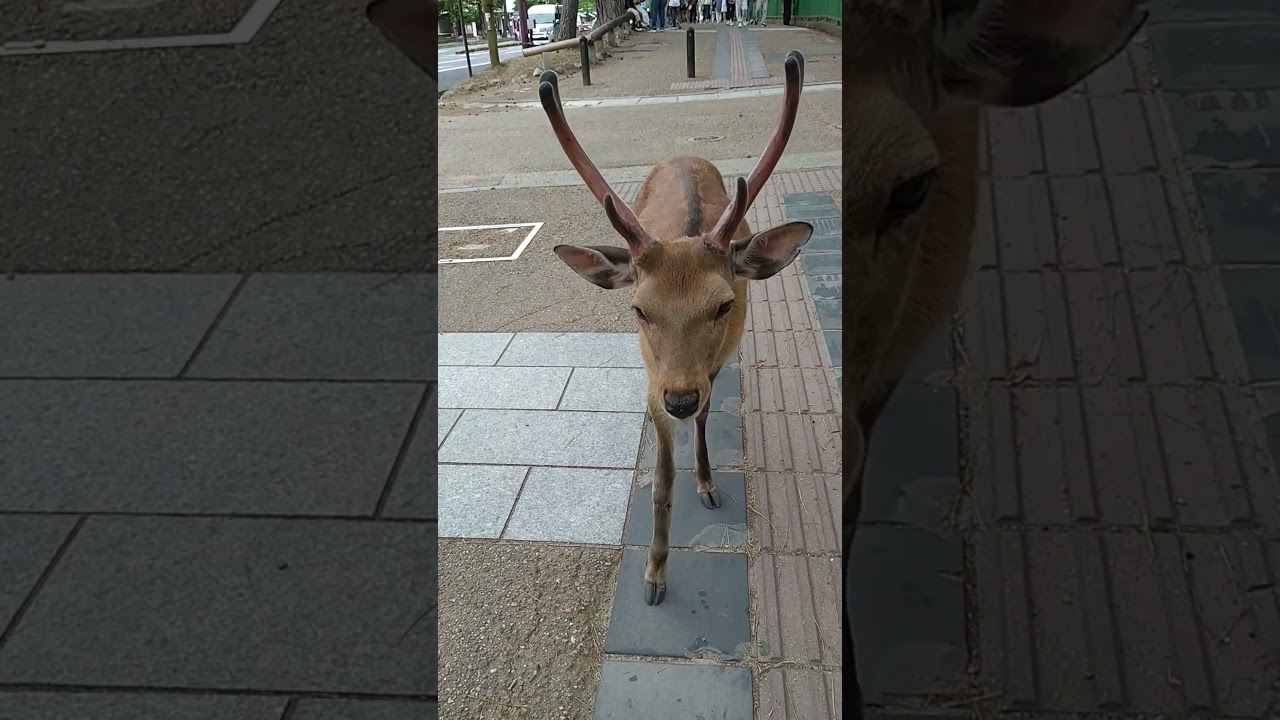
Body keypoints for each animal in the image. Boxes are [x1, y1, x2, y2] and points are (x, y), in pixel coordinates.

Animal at [538, 53, 812, 606]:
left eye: (725, 305)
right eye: (639, 310)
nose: (680, 400)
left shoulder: (713, 364)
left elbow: (706, 418)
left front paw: (706, 483)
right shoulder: (653, 379)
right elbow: (662, 482)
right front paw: (654, 573)